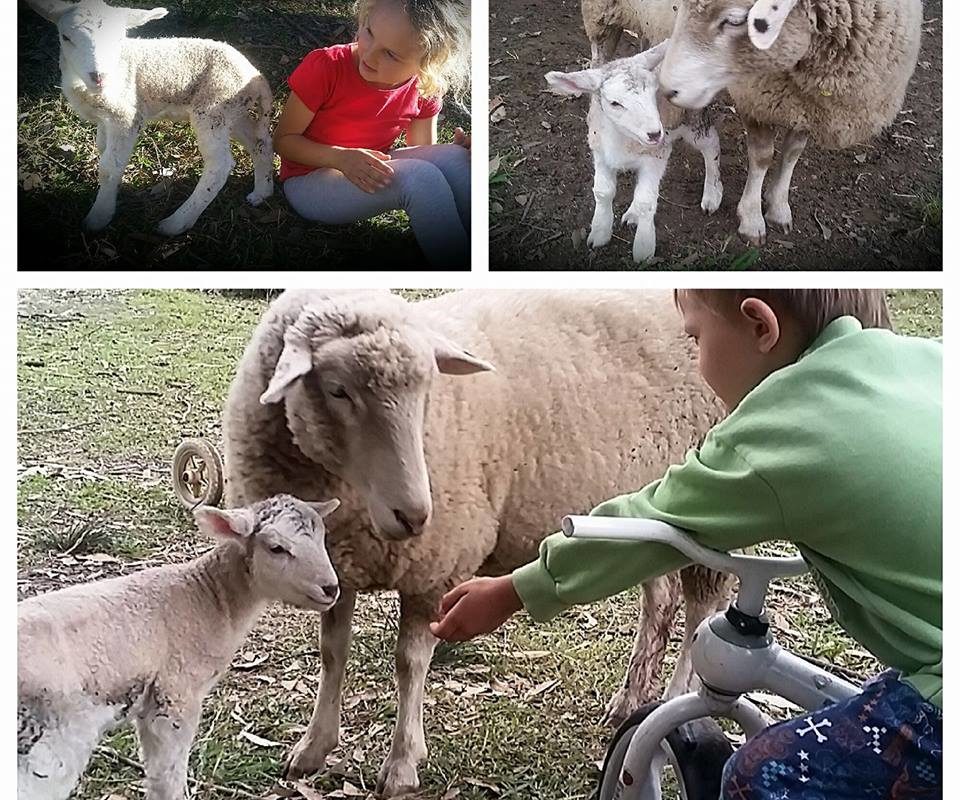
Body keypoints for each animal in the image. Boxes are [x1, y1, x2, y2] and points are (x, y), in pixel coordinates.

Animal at [17, 494, 340, 800]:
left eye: (323, 538)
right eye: (276, 548)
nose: (331, 588)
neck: (207, 595)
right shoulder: (175, 695)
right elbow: (167, 775)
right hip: (46, 745)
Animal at [24, 0, 274, 236]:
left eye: (119, 39)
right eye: (65, 37)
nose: (99, 77)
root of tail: (257, 76)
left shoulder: (125, 115)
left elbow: (109, 167)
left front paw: (98, 217)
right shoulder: (105, 120)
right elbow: (103, 149)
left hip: (213, 108)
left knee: (220, 165)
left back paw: (175, 223)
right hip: (232, 112)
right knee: (259, 143)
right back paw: (262, 192)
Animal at [223, 289, 732, 797]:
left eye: (427, 391)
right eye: (337, 390)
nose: (414, 515)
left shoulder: (437, 564)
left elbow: (410, 662)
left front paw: (402, 763)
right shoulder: (335, 565)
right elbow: (332, 653)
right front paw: (313, 747)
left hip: (698, 508)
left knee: (700, 612)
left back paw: (675, 703)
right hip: (644, 520)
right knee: (660, 599)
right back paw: (630, 698)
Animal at [545, 41, 723, 263]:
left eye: (654, 93)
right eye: (615, 103)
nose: (655, 133)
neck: (622, 139)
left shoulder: (657, 155)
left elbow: (646, 201)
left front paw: (644, 249)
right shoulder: (600, 152)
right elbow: (603, 192)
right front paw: (600, 232)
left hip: (692, 120)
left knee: (711, 145)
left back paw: (712, 193)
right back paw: (632, 215)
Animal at [656, 0, 924, 245]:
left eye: (734, 20)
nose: (667, 89)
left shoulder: (806, 108)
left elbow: (792, 153)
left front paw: (778, 206)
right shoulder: (754, 99)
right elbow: (762, 158)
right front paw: (752, 219)